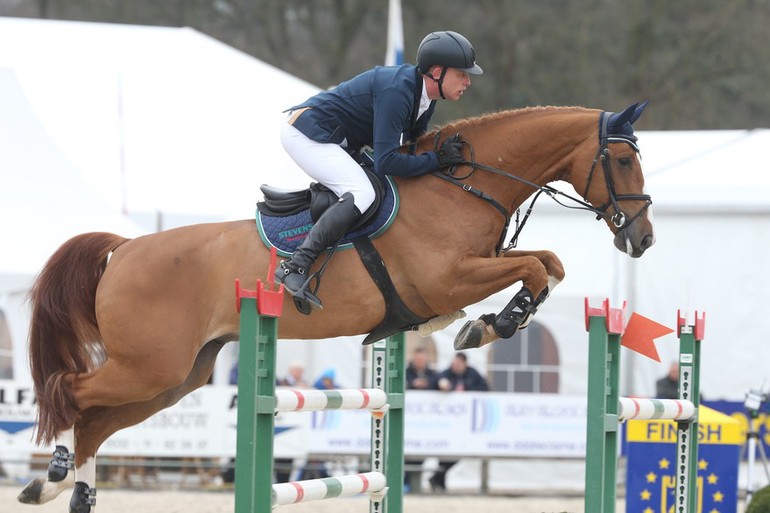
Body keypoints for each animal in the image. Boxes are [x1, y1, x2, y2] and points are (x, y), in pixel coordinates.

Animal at [19, 102, 656, 510]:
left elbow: (549, 264)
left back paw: (61, 488)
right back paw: (54, 472)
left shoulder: (475, 270)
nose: (643, 239)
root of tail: (123, 249)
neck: (459, 184)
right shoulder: (450, 279)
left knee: (98, 419)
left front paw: (489, 324)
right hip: (149, 366)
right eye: (623, 162)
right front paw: (488, 325)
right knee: (69, 393)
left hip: (177, 376)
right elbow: (535, 267)